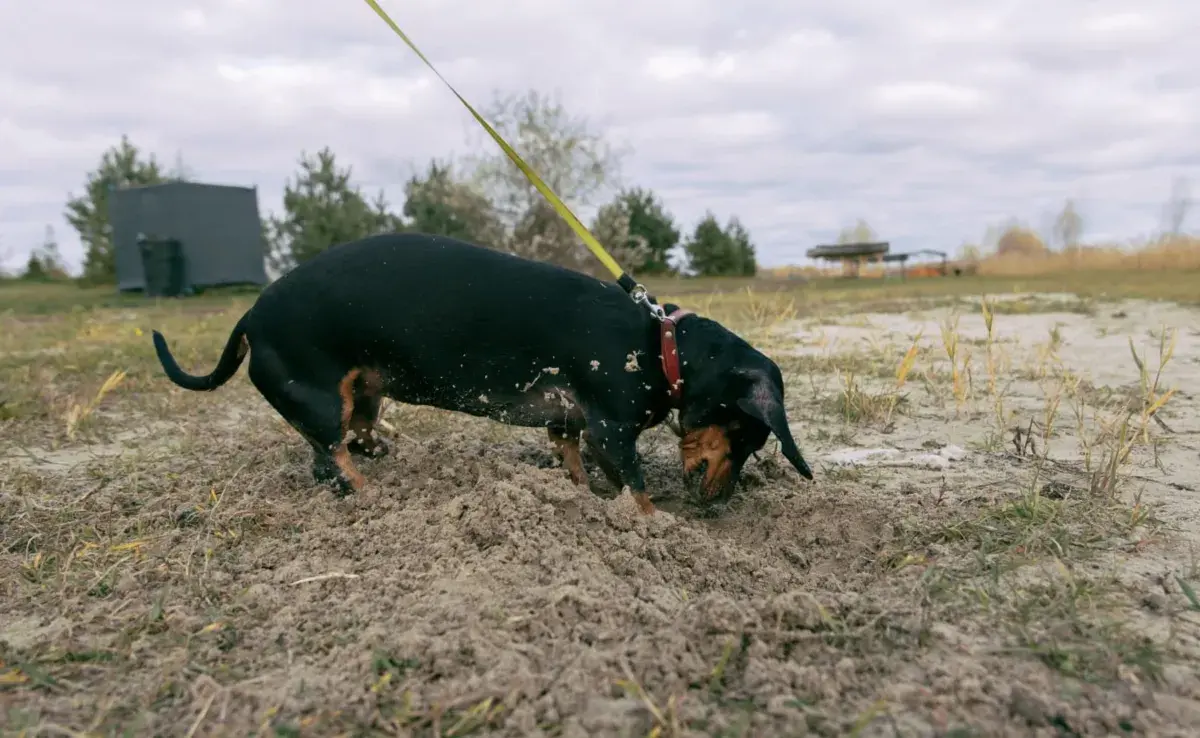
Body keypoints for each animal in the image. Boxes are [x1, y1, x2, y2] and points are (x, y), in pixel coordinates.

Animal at [147, 234, 806, 511]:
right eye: (749, 434)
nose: (720, 505)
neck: (660, 344)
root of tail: (250, 315)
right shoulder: (612, 430)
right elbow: (637, 490)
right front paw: (655, 528)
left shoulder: (570, 424)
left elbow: (573, 465)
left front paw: (579, 496)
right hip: (322, 398)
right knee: (331, 457)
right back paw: (371, 496)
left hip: (363, 396)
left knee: (332, 452)